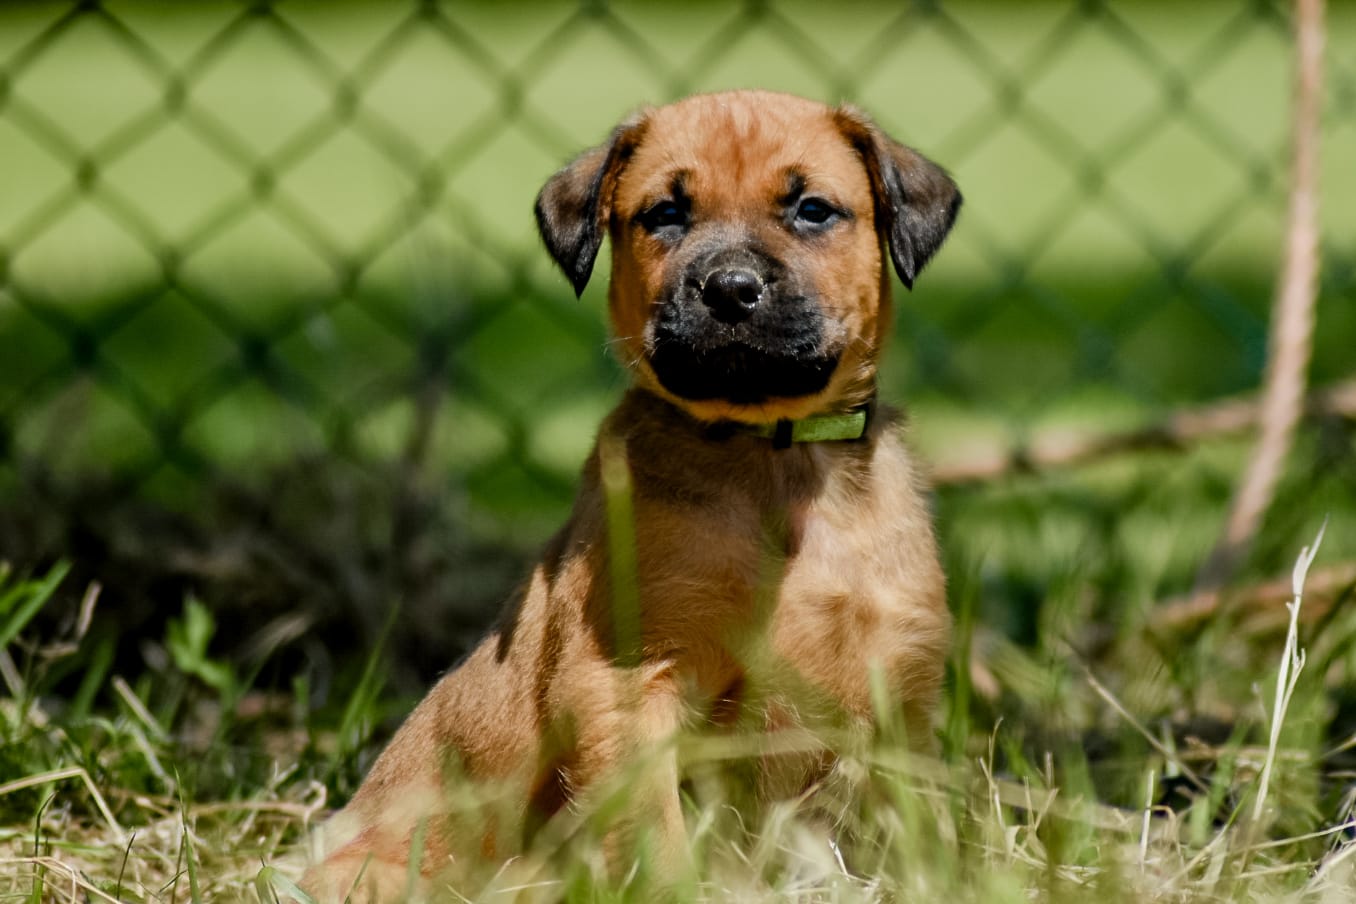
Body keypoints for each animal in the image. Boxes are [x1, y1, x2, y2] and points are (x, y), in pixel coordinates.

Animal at [302, 88, 960, 899]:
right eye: (665, 214)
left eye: (812, 210)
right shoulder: (625, 684)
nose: (730, 290)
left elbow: (921, 834)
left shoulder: (902, 692)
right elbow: (655, 836)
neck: (771, 460)